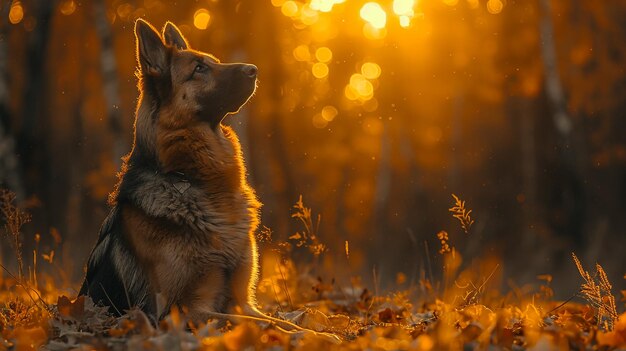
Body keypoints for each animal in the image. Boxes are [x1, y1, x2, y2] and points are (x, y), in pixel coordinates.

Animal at [79, 18, 262, 322]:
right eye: (199, 68)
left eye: (213, 61)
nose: (254, 69)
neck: (192, 179)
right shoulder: (185, 310)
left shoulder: (243, 301)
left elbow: (288, 322)